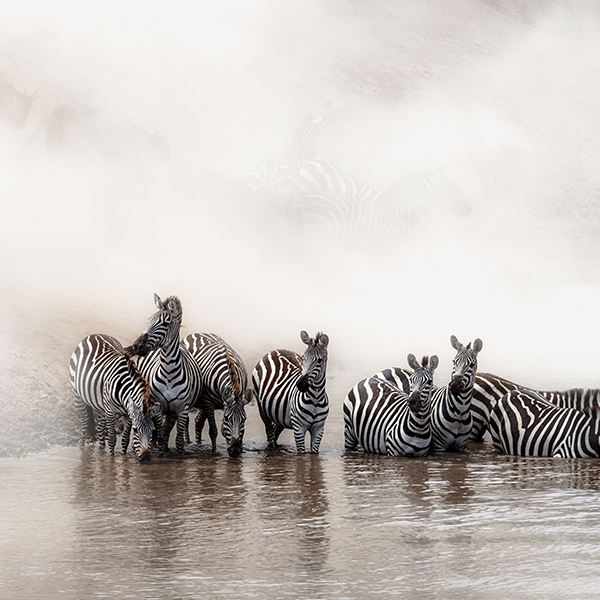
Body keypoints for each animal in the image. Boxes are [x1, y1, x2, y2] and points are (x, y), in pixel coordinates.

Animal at [69, 330, 158, 462]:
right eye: (136, 430)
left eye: (152, 430)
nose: (146, 457)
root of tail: (93, 335)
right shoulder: (110, 411)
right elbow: (112, 438)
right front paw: (111, 459)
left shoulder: (128, 414)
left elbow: (125, 439)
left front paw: (124, 457)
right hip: (78, 394)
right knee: (84, 421)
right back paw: (81, 447)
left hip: (101, 403)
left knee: (100, 425)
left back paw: (101, 449)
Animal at [131, 292, 202, 452]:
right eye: (149, 320)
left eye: (164, 324)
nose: (137, 346)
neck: (169, 371)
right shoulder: (157, 406)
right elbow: (160, 434)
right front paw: (159, 449)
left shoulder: (182, 409)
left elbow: (178, 440)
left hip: (172, 412)